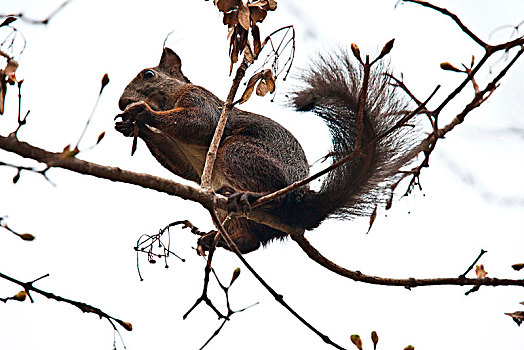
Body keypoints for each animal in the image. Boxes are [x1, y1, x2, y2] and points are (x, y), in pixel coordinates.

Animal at [115, 47, 418, 254]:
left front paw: (142, 112)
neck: (169, 99)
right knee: (249, 242)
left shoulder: (202, 102)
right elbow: (181, 164)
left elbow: (196, 122)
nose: (121, 102)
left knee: (272, 195)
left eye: (149, 74)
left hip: (236, 152)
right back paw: (220, 238)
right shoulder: (183, 157)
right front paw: (132, 127)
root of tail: (302, 205)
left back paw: (250, 197)